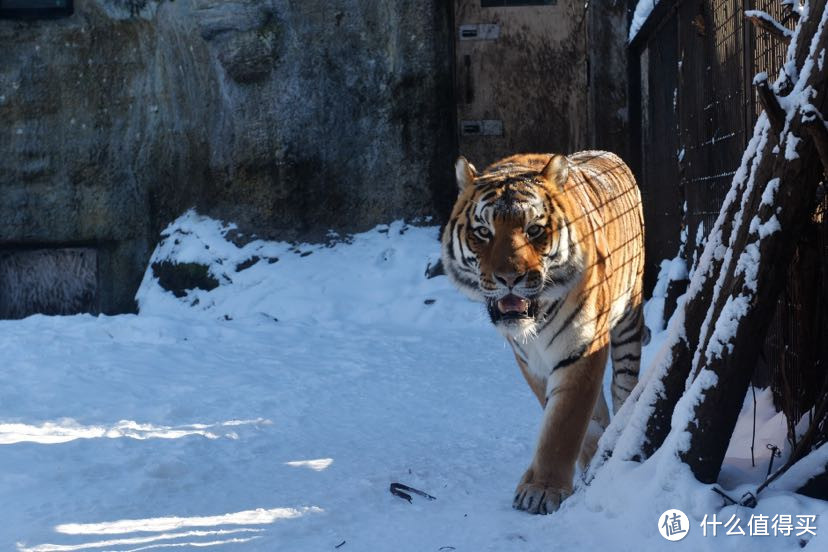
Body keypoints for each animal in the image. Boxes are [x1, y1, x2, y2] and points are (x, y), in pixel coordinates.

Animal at [440, 150, 648, 512]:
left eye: (534, 229)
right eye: (483, 232)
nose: (510, 278)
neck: (534, 325)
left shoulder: (582, 346)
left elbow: (563, 423)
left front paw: (542, 490)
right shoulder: (531, 362)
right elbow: (573, 420)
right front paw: (584, 459)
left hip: (629, 315)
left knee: (624, 384)